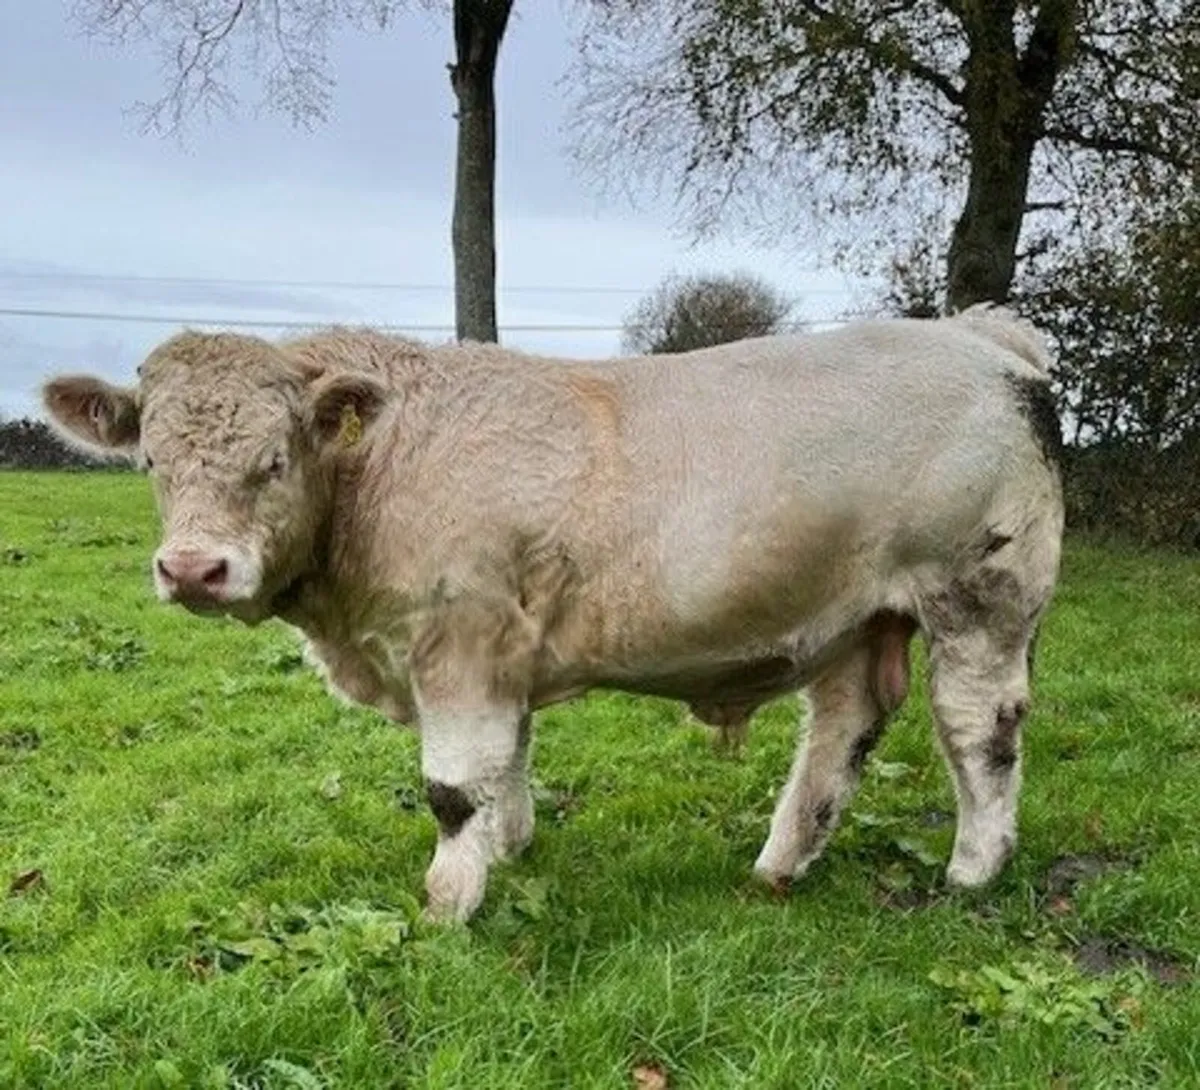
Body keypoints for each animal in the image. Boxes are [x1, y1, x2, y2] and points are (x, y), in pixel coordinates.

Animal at [42, 305, 1064, 922]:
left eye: (275, 459)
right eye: (151, 462)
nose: (193, 568)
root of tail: (979, 336)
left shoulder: (457, 642)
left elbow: (454, 785)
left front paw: (449, 900)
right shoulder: (501, 654)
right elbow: (509, 761)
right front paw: (511, 847)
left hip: (980, 598)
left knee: (979, 729)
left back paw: (973, 869)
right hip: (853, 615)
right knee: (844, 726)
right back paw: (780, 864)